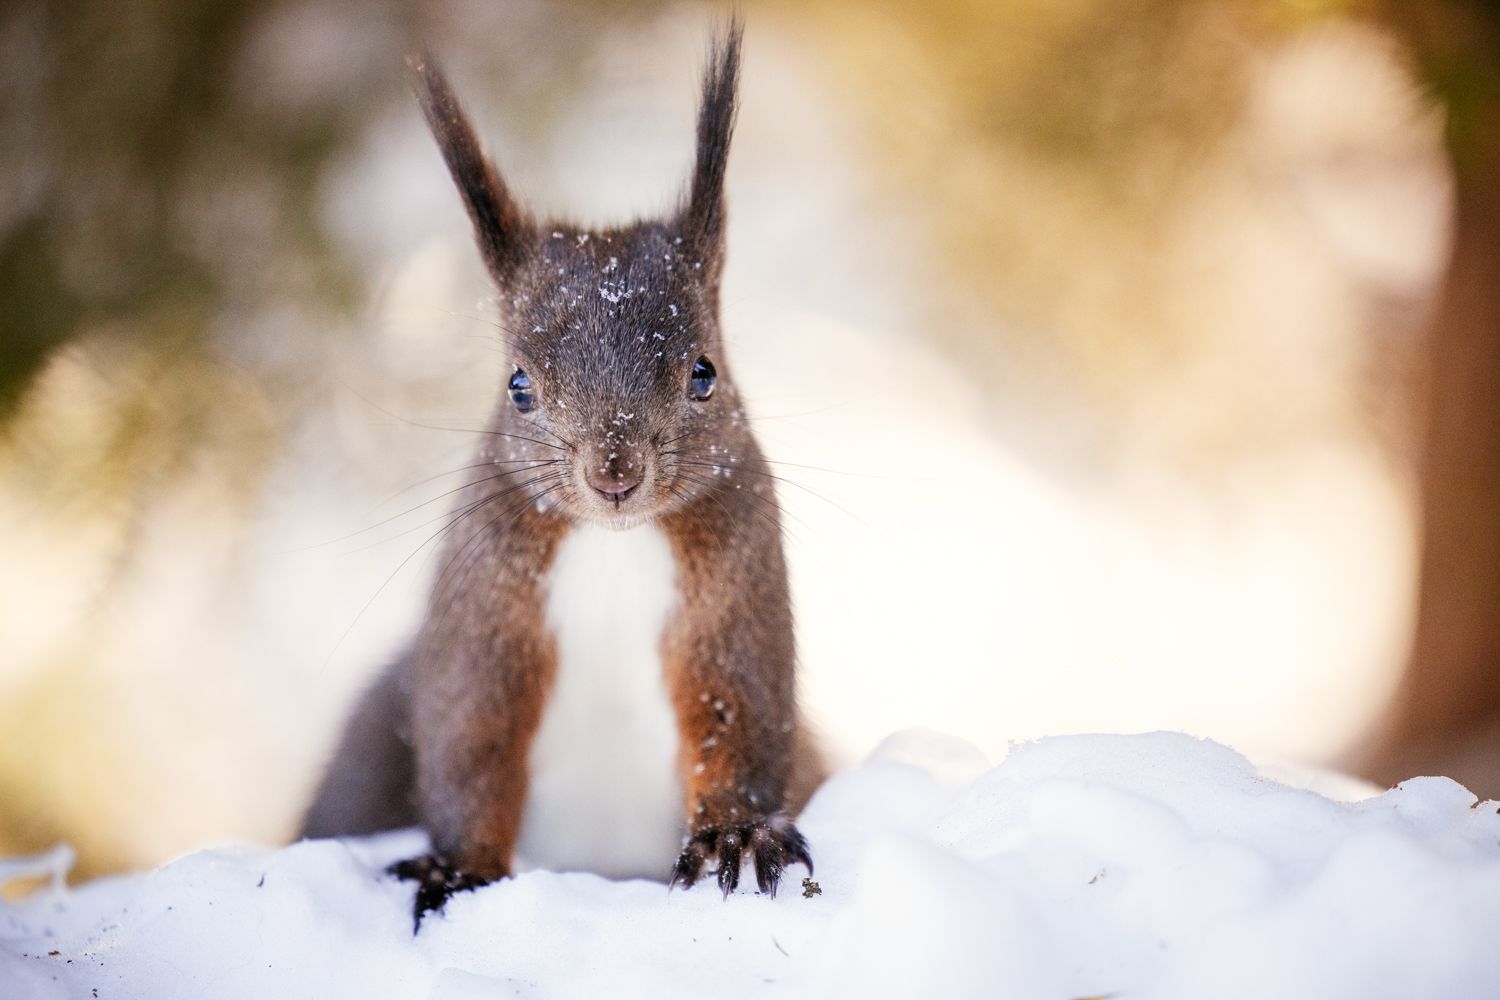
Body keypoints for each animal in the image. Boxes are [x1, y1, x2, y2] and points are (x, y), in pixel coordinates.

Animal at [300, 20, 826, 927]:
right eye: (519, 385)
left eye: (703, 372)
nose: (614, 473)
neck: (613, 545)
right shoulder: (482, 610)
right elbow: (470, 743)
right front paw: (458, 869)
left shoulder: (738, 587)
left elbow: (741, 715)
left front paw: (736, 833)